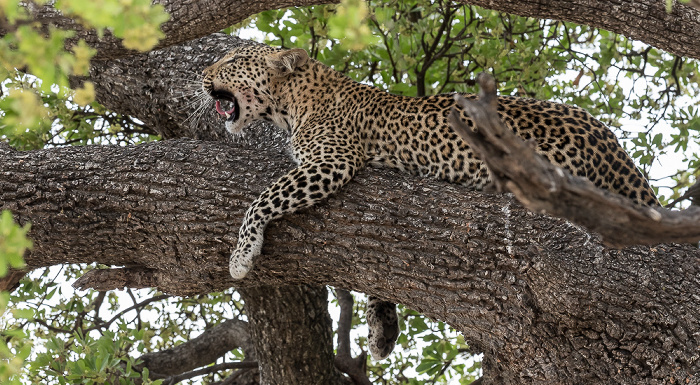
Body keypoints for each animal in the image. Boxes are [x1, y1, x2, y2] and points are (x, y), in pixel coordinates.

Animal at [201, 42, 656, 360]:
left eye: (233, 59)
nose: (202, 74)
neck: (292, 102)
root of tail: (612, 145)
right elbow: (370, 269)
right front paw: (381, 329)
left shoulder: (333, 160)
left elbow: (263, 198)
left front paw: (241, 256)